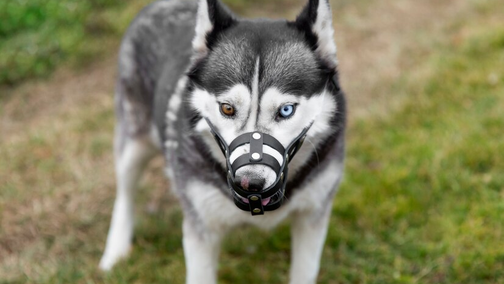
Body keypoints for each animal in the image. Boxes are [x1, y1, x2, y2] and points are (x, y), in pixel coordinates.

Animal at [100, 0, 348, 280]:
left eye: (286, 110)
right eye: (227, 108)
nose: (250, 184)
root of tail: (160, 4)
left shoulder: (313, 217)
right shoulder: (201, 231)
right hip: (134, 145)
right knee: (125, 193)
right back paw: (115, 250)